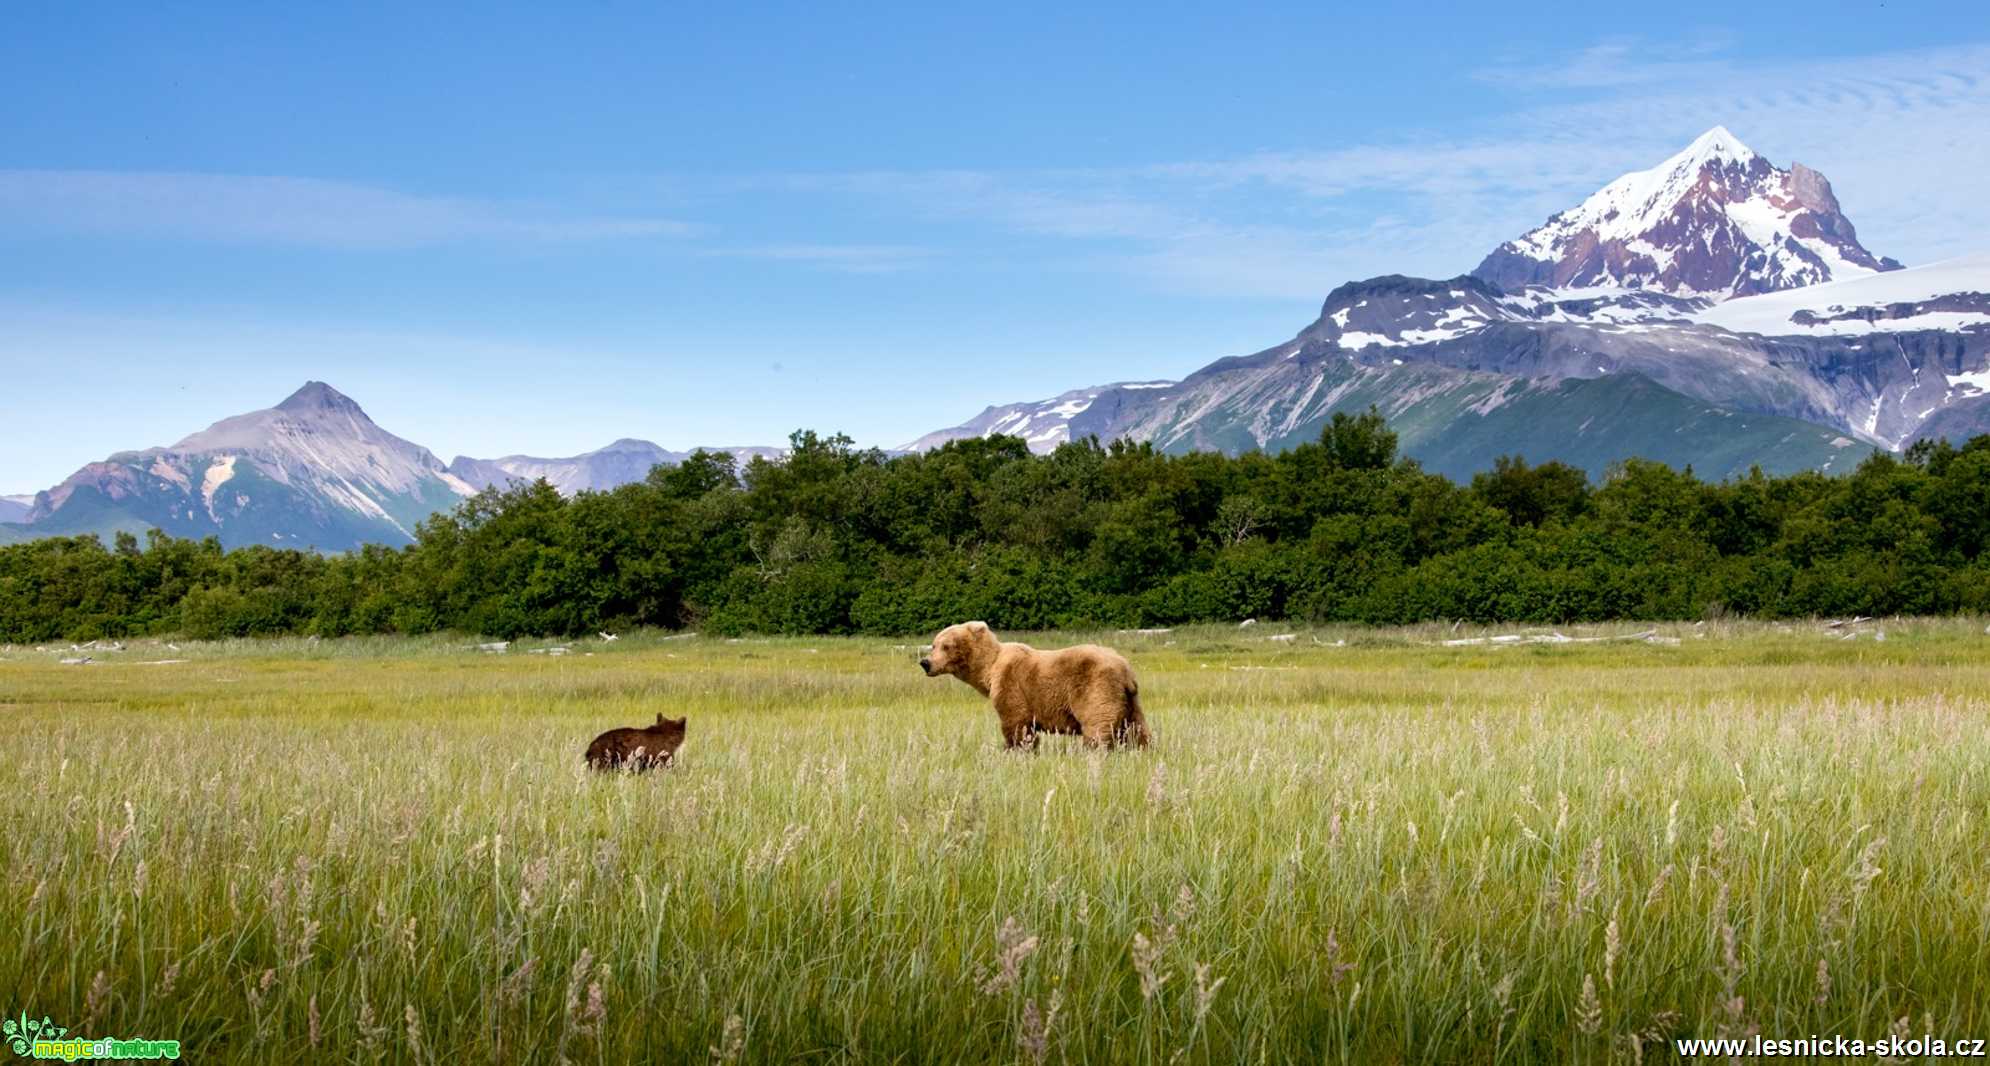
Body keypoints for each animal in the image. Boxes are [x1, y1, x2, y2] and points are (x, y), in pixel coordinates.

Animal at [919, 624, 1154, 747]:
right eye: (934, 644)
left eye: (946, 646)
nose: (925, 662)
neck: (989, 670)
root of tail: (1126, 670)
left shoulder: (1011, 683)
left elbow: (1016, 723)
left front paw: (1015, 749)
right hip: (1130, 700)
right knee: (1137, 731)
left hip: (1096, 687)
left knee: (1098, 727)